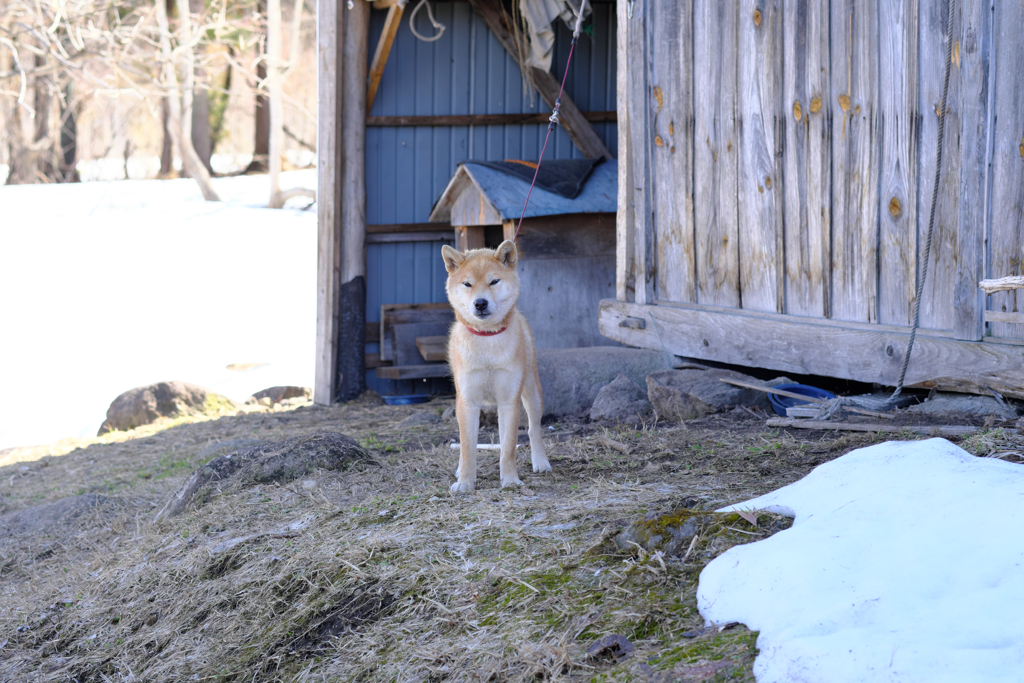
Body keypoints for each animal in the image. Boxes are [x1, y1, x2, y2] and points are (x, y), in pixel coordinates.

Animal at [442, 239, 552, 491]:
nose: (480, 303)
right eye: (467, 284)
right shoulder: (468, 401)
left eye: (494, 281)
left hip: (533, 392)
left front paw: (510, 480)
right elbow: (467, 446)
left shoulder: (509, 400)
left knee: (534, 428)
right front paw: (465, 482)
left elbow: (508, 446)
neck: (487, 340)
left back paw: (540, 461)